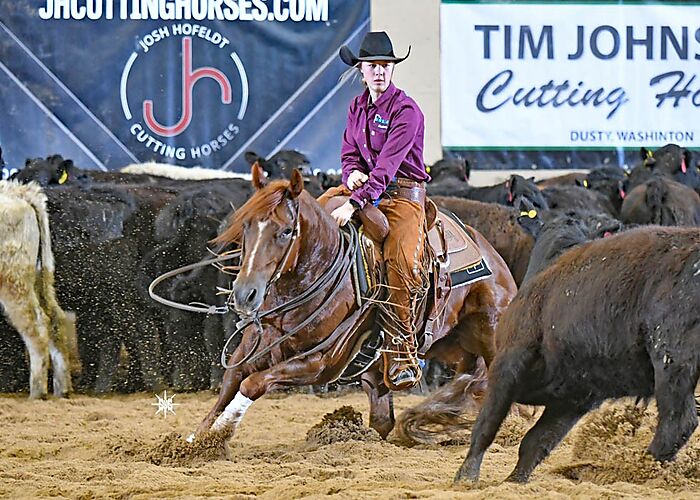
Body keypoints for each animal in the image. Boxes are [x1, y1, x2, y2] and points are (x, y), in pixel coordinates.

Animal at [0, 181, 80, 398]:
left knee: (37, 325)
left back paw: (37, 392)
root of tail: (19, 193)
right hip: (38, 276)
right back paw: (62, 390)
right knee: (55, 320)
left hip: (14, 282)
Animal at [186, 165, 516, 443]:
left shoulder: (320, 363)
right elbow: (231, 380)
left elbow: (251, 384)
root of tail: (489, 253)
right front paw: (194, 442)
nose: (245, 294)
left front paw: (220, 433)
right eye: (246, 227)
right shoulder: (254, 345)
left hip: (489, 332)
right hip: (448, 347)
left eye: (285, 231)